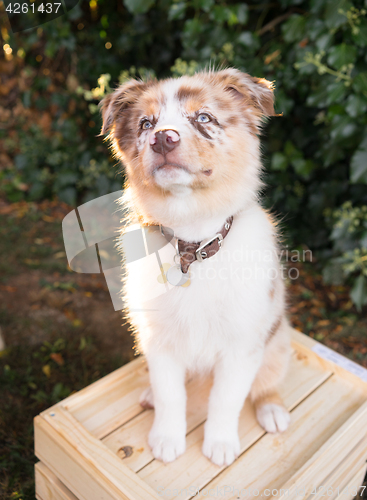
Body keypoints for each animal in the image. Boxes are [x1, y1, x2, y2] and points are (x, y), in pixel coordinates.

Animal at [100, 69, 294, 468]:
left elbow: (227, 398)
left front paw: (220, 443)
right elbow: (170, 393)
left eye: (204, 118)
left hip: (278, 339)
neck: (193, 244)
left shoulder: (242, 344)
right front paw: (166, 438)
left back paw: (271, 409)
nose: (163, 138)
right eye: (146, 124)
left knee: (267, 381)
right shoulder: (157, 338)